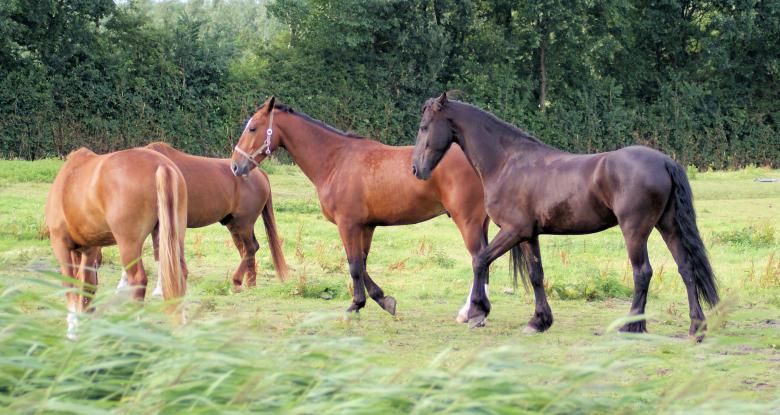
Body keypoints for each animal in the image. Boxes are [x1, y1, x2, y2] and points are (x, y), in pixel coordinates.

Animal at [46, 147, 188, 338]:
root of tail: (160, 164)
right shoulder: (89, 249)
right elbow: (86, 284)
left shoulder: (61, 245)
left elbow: (70, 284)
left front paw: (73, 331)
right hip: (172, 238)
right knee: (180, 274)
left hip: (129, 245)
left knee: (138, 280)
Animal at [116, 142, 288, 295]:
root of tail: (260, 173)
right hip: (234, 225)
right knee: (246, 250)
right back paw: (249, 285)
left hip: (244, 223)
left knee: (251, 248)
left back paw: (238, 281)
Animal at [230, 97, 491, 320]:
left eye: (253, 128)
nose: (235, 166)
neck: (336, 160)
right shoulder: (366, 226)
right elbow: (362, 263)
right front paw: (383, 299)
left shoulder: (348, 224)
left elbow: (354, 264)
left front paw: (356, 304)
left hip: (467, 220)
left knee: (478, 259)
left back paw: (471, 311)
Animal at [411, 93, 719, 340]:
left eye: (424, 127)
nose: (416, 169)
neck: (508, 162)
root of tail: (665, 162)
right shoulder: (528, 235)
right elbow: (536, 275)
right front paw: (539, 321)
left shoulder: (513, 230)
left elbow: (480, 261)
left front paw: (476, 312)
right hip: (668, 226)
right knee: (686, 269)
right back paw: (696, 327)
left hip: (635, 230)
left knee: (642, 272)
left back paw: (631, 325)